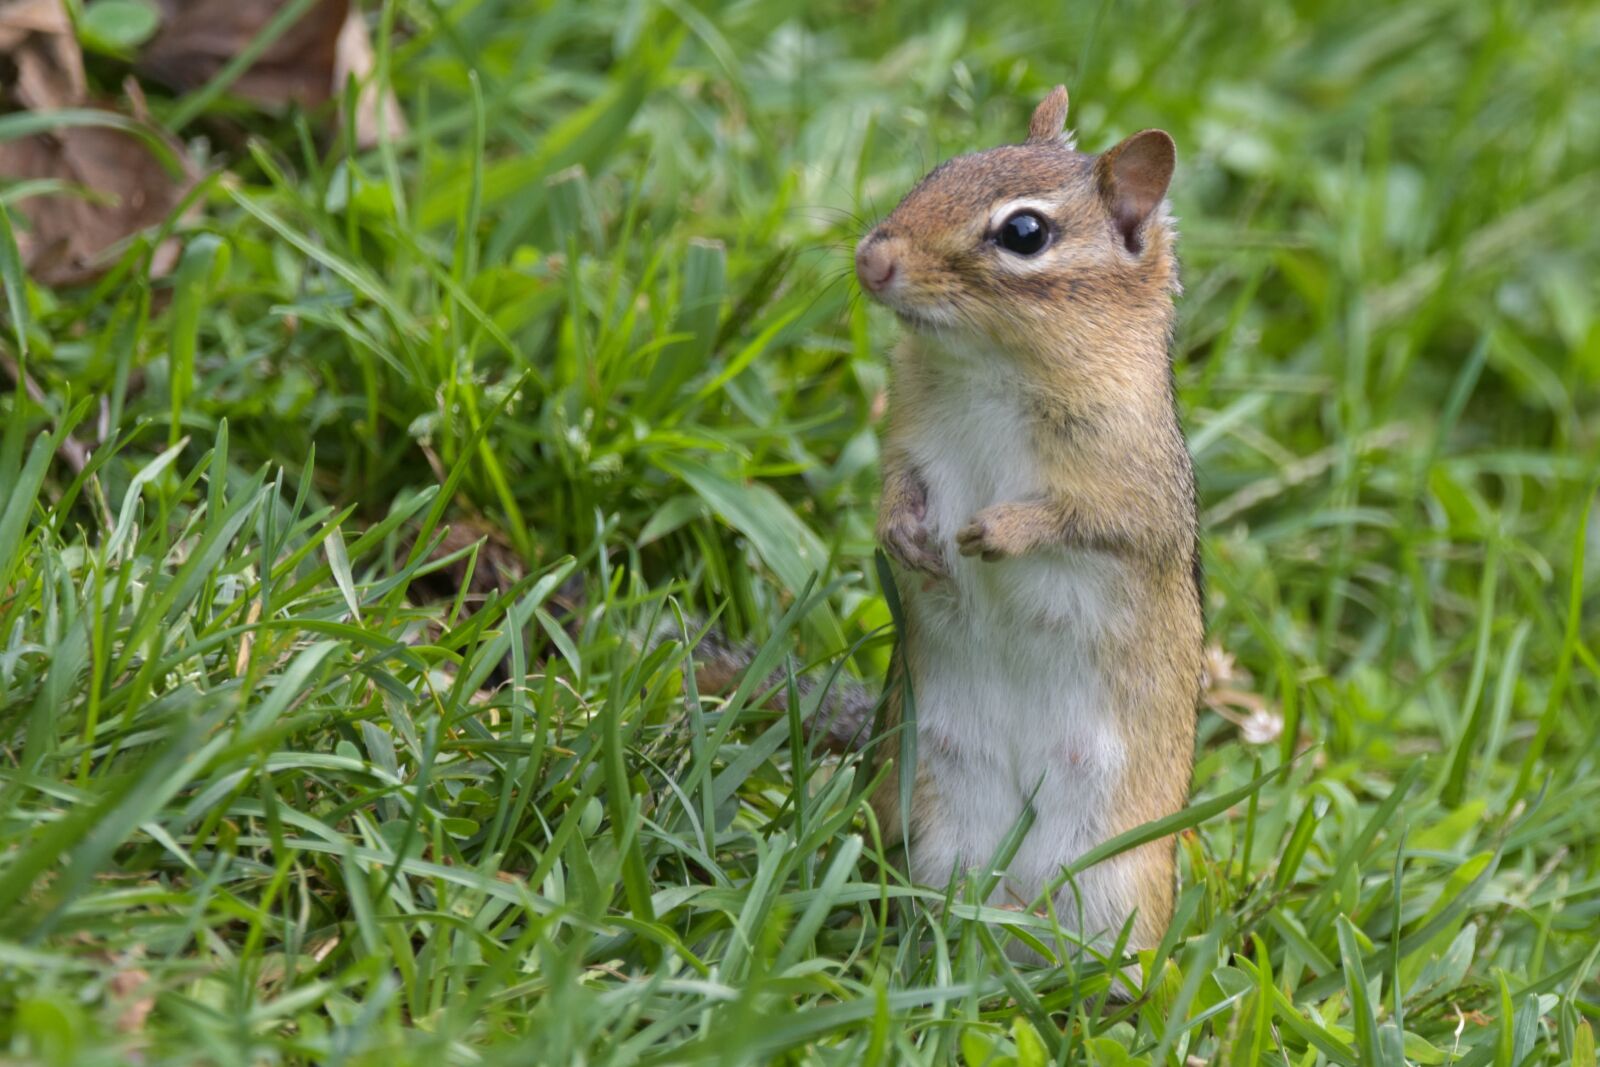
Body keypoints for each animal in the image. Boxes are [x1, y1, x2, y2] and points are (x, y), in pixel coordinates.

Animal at [688, 84, 1202, 961]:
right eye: (940, 169)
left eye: (1024, 233)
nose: (871, 259)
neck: (990, 365)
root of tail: (1017, 914)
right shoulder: (908, 442)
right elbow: (895, 490)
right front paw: (904, 536)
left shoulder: (1134, 491)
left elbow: (1081, 519)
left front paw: (996, 533)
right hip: (928, 826)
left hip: (1120, 886)